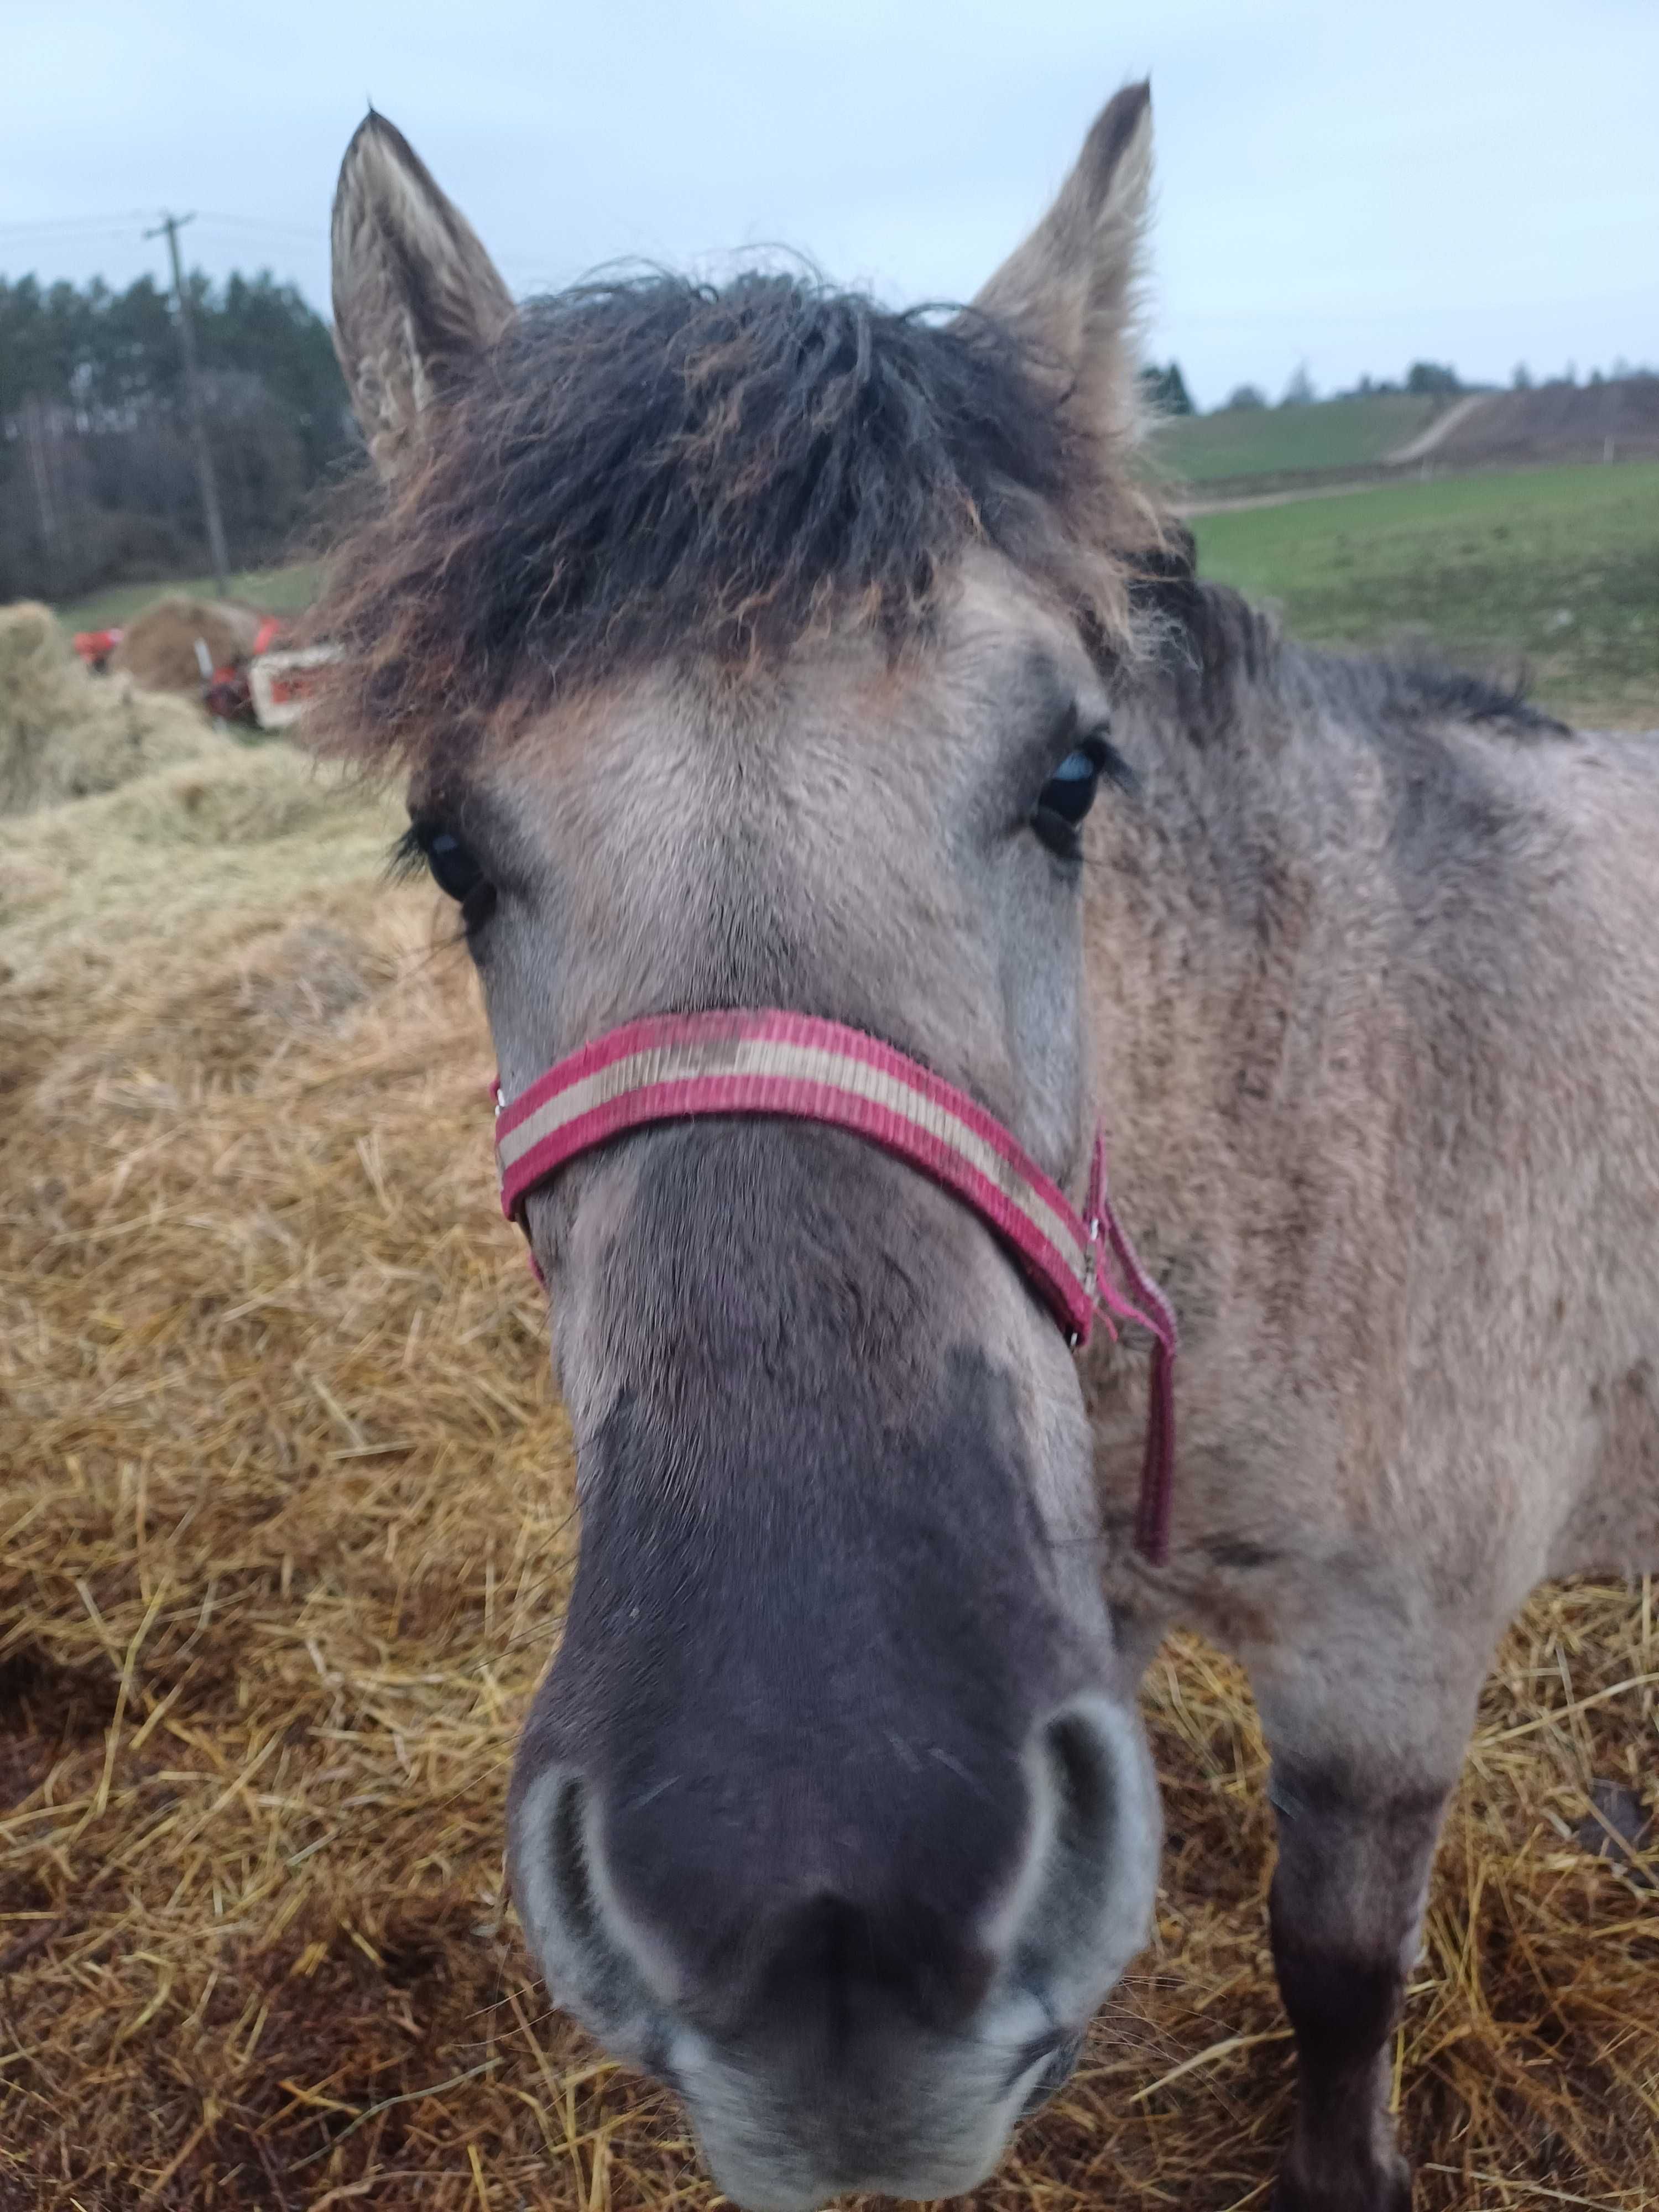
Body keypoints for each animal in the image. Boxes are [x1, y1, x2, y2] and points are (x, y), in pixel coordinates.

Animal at [314, 78, 1659, 2203]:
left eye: (1070, 776)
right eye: (449, 845)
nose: (822, 1904)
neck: (1332, 1098)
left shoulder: (1390, 1671)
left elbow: (1335, 1974)